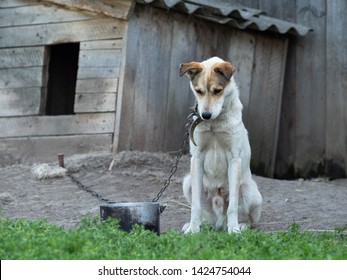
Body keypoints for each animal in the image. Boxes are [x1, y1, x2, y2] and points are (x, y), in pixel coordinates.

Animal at [181, 55, 262, 233]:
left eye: (217, 90)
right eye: (198, 91)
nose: (205, 115)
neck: (214, 124)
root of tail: (219, 221)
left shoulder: (234, 159)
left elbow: (233, 206)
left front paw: (234, 230)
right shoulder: (196, 158)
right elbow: (195, 205)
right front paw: (193, 230)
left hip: (250, 191)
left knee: (250, 220)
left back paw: (240, 225)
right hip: (188, 182)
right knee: (207, 217)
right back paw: (197, 225)